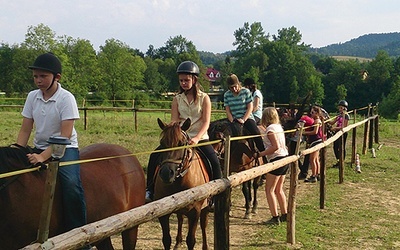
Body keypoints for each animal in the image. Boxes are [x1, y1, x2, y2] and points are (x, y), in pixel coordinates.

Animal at [153, 117, 209, 250]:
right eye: (162, 143)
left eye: (181, 143)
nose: (166, 173)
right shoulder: (163, 214)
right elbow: (166, 240)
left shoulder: (195, 213)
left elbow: (191, 240)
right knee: (180, 218)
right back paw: (178, 242)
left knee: (203, 225)